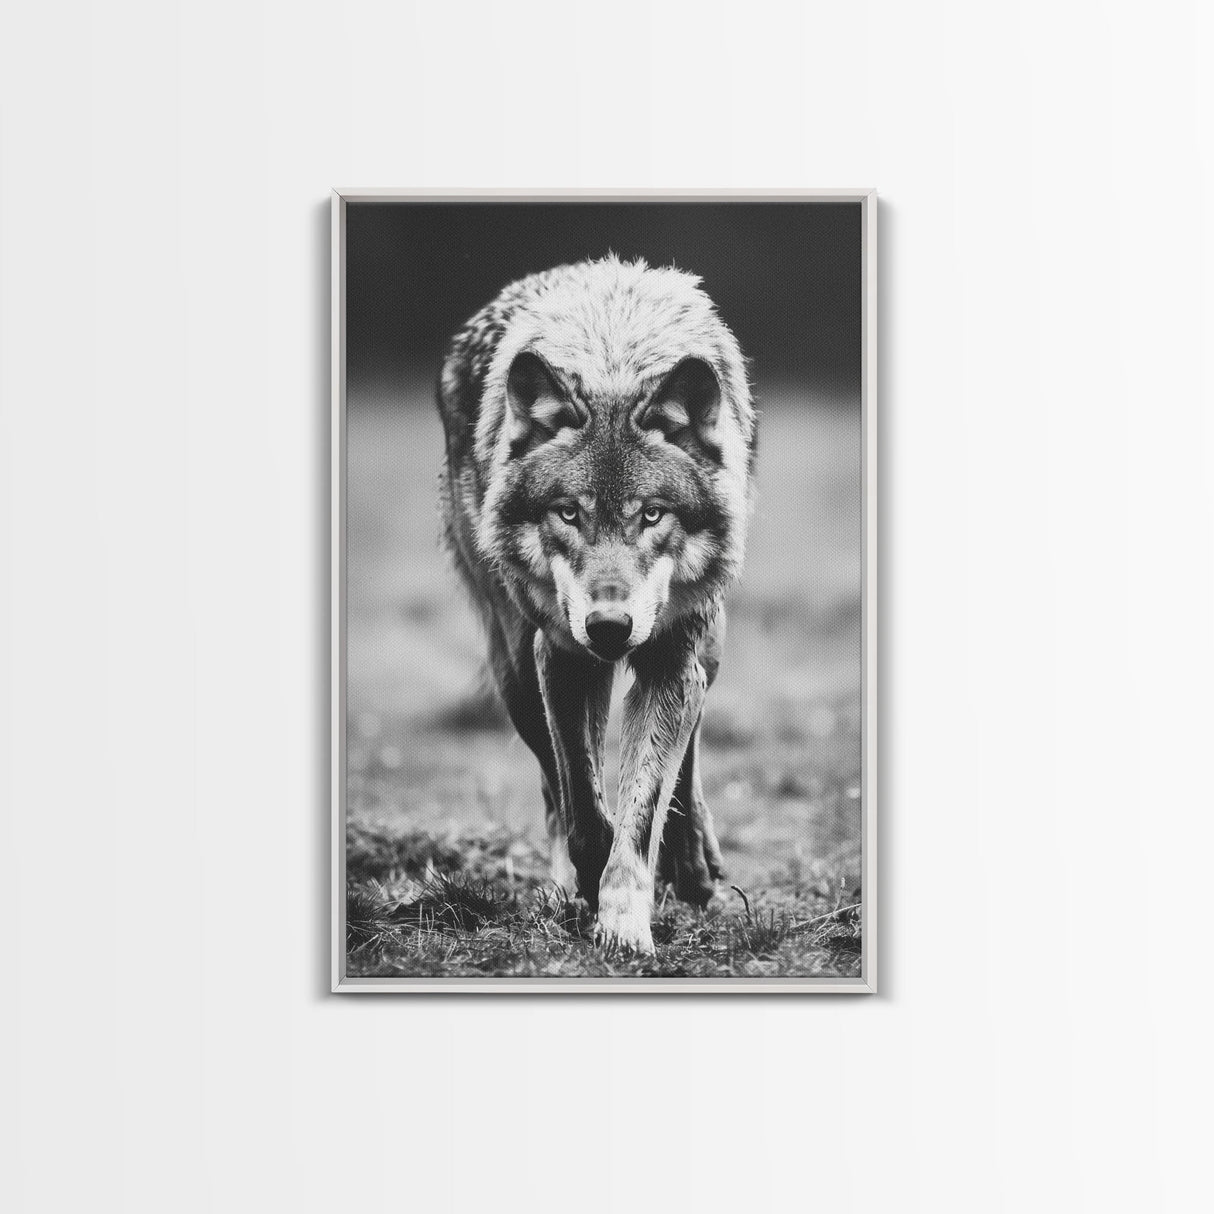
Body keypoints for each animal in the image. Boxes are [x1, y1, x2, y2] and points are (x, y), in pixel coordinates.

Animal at [436, 255, 756, 954]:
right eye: (568, 513)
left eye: (652, 515)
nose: (610, 626)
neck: (613, 359)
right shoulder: (560, 656)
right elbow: (582, 801)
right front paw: (592, 878)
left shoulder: (668, 659)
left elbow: (643, 802)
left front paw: (626, 922)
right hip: (514, 668)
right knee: (554, 788)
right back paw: (570, 884)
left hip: (706, 644)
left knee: (689, 745)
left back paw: (693, 862)